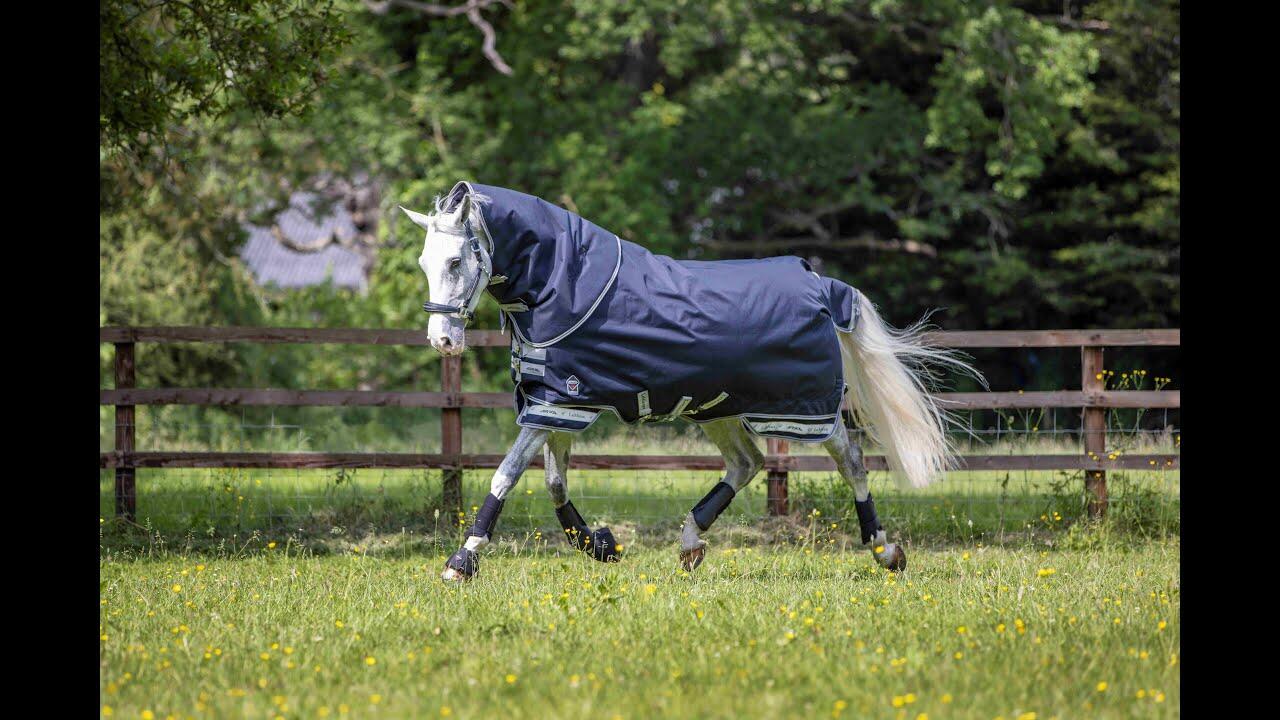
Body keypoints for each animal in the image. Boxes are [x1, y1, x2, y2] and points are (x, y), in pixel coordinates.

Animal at [401, 181, 979, 582]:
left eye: (456, 260)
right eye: (425, 262)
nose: (443, 340)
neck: (564, 284)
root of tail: (821, 284)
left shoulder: (561, 405)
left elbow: (505, 475)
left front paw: (461, 561)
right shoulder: (558, 404)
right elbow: (554, 482)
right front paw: (601, 545)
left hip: (801, 409)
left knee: (851, 460)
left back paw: (885, 549)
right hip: (717, 407)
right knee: (747, 464)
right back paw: (690, 544)